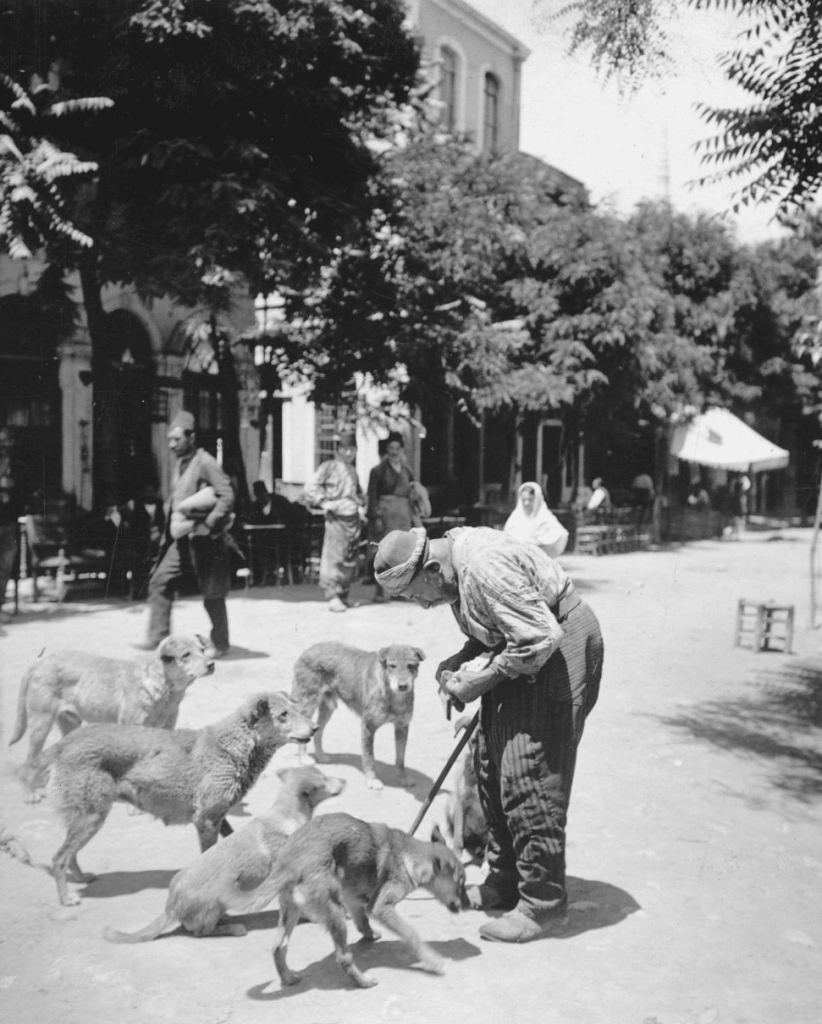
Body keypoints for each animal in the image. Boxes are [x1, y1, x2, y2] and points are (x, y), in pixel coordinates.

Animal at [9, 630, 214, 798]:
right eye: (186, 655)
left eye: (202, 650)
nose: (211, 664)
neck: (162, 688)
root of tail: (40, 662)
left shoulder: (166, 729)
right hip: (41, 724)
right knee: (29, 760)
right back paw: (30, 792)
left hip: (70, 723)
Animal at [34, 688, 315, 905]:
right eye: (283, 715)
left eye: (296, 709)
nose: (315, 727)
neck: (233, 747)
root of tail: (65, 742)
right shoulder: (206, 820)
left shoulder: (219, 816)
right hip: (92, 817)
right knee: (58, 858)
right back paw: (66, 898)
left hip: (84, 817)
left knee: (68, 854)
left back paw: (80, 877)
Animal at [104, 765, 345, 937]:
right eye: (325, 779)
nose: (345, 780)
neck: (285, 813)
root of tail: (170, 907)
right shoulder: (283, 875)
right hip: (211, 907)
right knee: (199, 932)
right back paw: (232, 928)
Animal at [268, 811, 466, 987]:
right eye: (460, 884)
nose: (466, 905)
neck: (407, 857)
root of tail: (291, 863)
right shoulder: (381, 907)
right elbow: (411, 933)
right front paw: (431, 959)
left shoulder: (352, 899)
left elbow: (362, 920)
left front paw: (370, 934)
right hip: (335, 913)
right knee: (343, 957)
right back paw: (363, 981)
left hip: (291, 910)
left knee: (278, 946)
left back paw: (287, 977)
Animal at [292, 638, 427, 790]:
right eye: (392, 666)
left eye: (411, 665)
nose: (402, 686)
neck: (393, 696)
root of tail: (310, 648)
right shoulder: (368, 727)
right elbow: (369, 759)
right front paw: (372, 780)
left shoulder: (402, 726)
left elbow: (400, 758)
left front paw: (402, 778)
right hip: (308, 705)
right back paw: (304, 758)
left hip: (328, 708)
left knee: (319, 731)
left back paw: (321, 756)